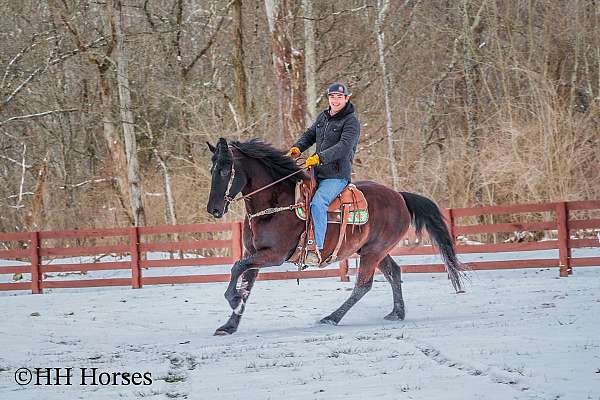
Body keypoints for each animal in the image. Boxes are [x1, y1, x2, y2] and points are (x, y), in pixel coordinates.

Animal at [209, 138, 466, 334]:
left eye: (225, 170)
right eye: (212, 170)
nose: (213, 209)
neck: (275, 205)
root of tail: (400, 197)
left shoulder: (275, 255)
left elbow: (236, 268)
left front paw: (232, 298)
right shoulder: (253, 253)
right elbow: (246, 282)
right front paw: (230, 324)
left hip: (372, 252)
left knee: (363, 285)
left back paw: (332, 317)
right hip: (375, 251)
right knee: (394, 272)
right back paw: (397, 312)